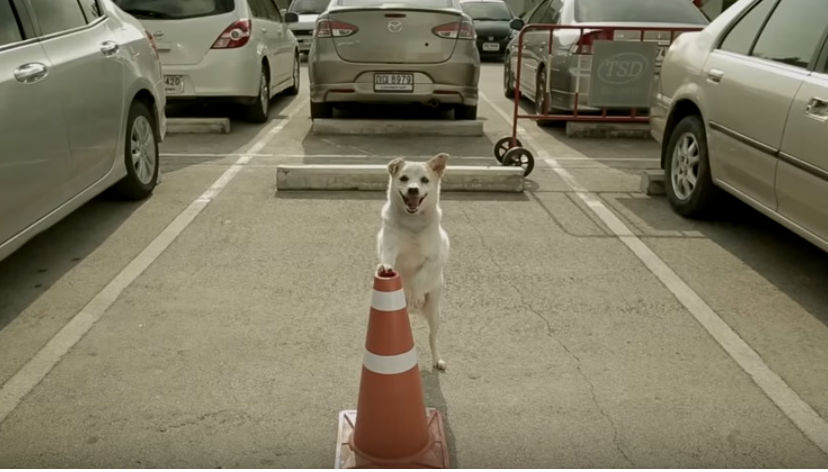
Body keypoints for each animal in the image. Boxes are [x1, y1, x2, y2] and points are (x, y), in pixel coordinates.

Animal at [376, 153, 450, 370]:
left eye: (424, 180)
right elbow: (389, 260)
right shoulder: (390, 247)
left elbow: (420, 277)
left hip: (434, 313)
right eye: (404, 178)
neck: (413, 222)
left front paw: (415, 294)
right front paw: (386, 267)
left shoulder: (433, 258)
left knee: (432, 337)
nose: (413, 189)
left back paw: (437, 360)